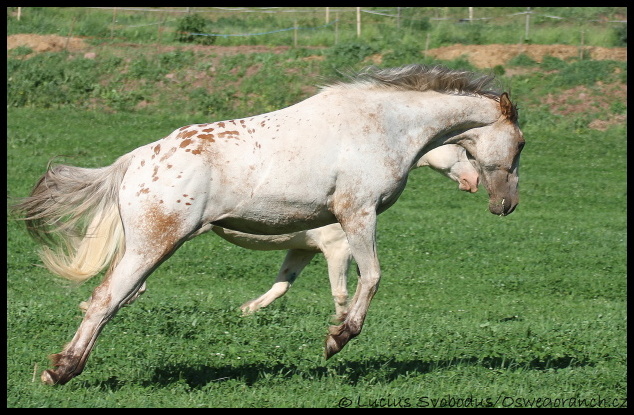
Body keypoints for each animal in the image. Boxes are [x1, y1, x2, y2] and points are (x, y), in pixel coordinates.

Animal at [76, 144, 476, 322]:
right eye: (460, 151)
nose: (473, 182)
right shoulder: (337, 250)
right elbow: (341, 292)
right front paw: (340, 323)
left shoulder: (303, 251)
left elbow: (282, 285)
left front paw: (248, 310)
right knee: (132, 275)